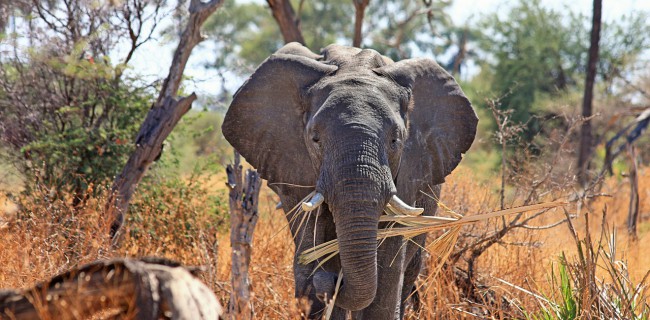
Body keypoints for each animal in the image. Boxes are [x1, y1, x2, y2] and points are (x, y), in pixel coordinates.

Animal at [223, 43, 476, 320]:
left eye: (395, 140)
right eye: (315, 139)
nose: (334, 281)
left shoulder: (409, 169)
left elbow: (388, 260)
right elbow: (312, 238)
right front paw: (318, 275)